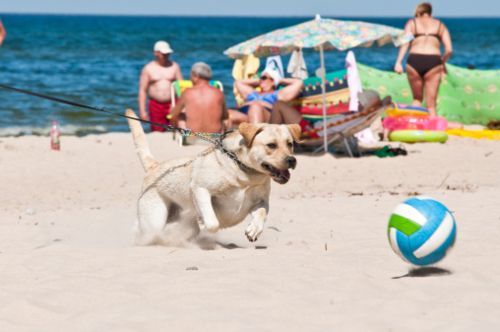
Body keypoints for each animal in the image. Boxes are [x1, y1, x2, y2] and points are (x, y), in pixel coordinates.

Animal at [126, 109, 300, 246]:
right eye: (271, 145)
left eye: (290, 144)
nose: (292, 160)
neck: (244, 173)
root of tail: (154, 166)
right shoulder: (200, 189)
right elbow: (212, 221)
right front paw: (204, 223)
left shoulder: (261, 200)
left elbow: (262, 212)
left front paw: (254, 230)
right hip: (154, 219)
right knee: (142, 230)